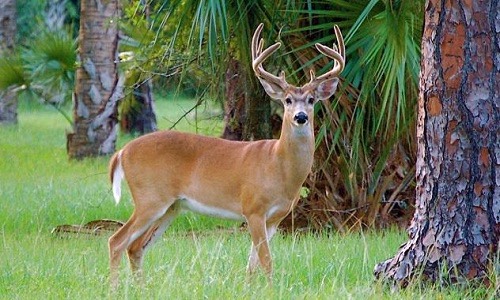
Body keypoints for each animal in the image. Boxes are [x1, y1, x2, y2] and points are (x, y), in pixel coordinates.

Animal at [108, 22, 346, 286]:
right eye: (287, 100)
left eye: (312, 100)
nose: (301, 117)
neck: (279, 166)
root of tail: (122, 152)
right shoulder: (253, 208)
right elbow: (266, 261)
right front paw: (271, 289)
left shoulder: (275, 218)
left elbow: (252, 264)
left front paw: (251, 288)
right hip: (150, 197)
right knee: (117, 241)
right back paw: (115, 288)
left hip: (171, 207)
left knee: (135, 247)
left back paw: (140, 288)